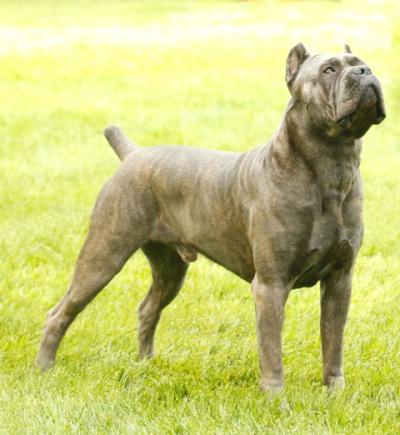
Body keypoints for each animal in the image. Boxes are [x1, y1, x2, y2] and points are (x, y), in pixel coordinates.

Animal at [37, 43, 385, 393]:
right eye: (329, 70)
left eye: (361, 63)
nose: (365, 71)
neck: (330, 165)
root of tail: (133, 154)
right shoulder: (271, 285)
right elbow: (272, 351)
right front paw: (276, 398)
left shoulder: (339, 280)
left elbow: (333, 343)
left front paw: (335, 392)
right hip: (104, 254)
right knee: (60, 312)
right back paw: (43, 368)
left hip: (169, 269)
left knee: (147, 308)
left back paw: (145, 363)